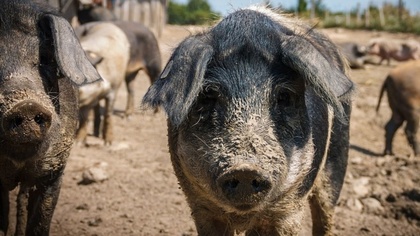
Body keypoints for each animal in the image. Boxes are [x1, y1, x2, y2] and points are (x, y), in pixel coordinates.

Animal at [143, 4, 352, 236]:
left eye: (284, 96)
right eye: (208, 95)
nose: (244, 169)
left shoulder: (289, 209)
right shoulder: (201, 207)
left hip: (337, 160)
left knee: (325, 211)